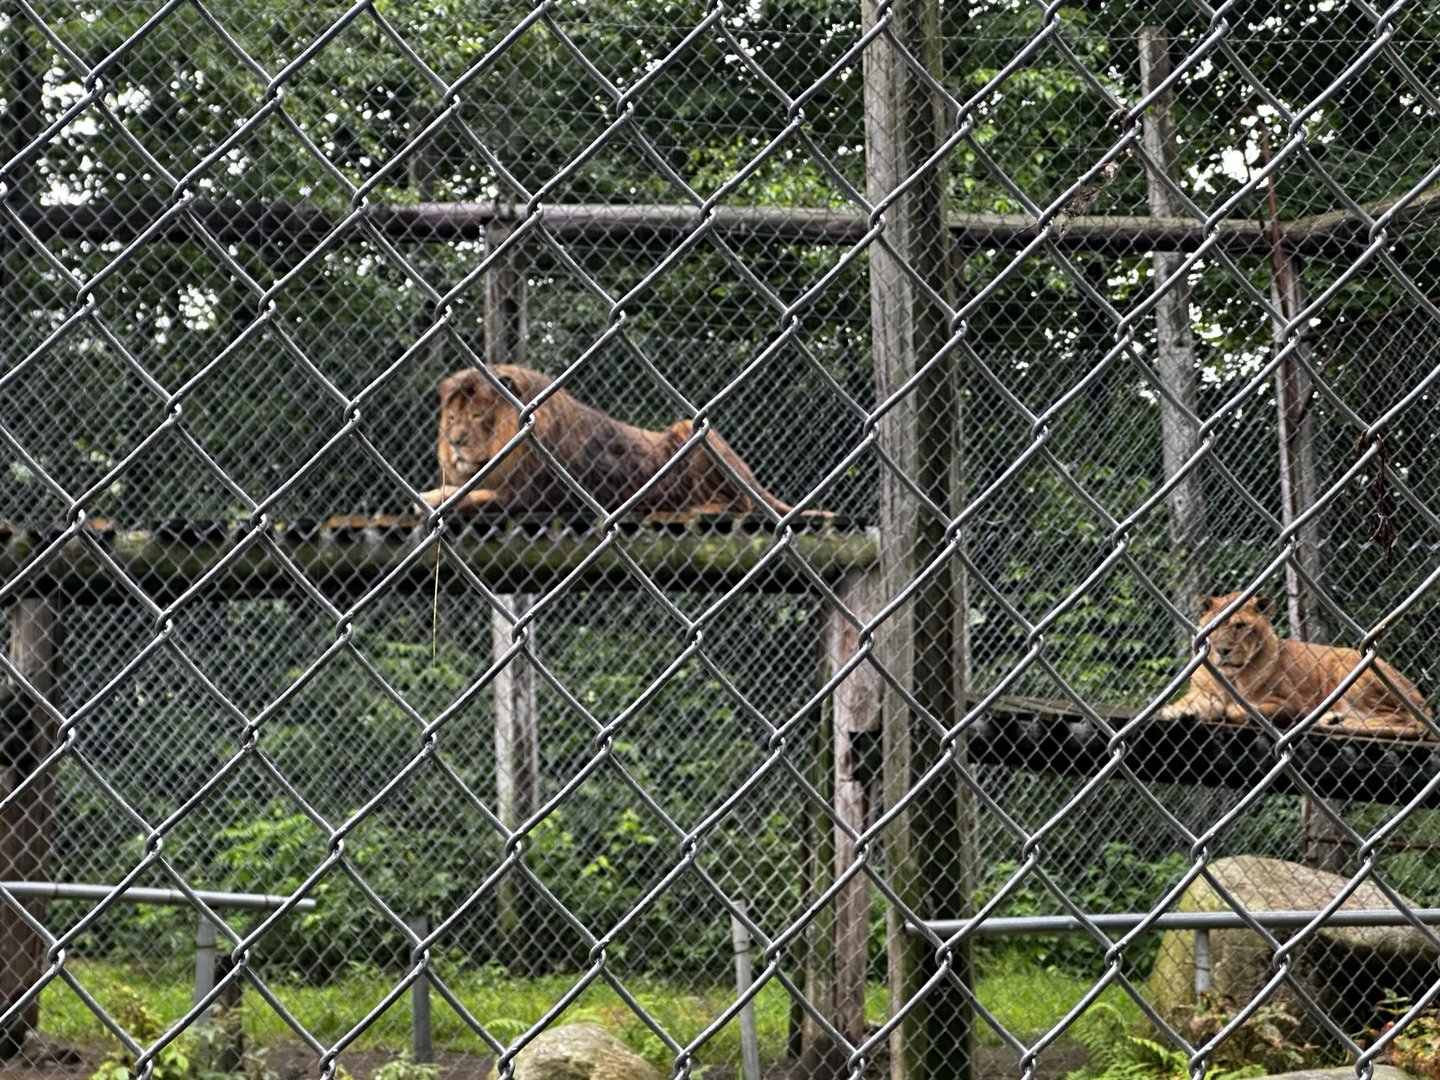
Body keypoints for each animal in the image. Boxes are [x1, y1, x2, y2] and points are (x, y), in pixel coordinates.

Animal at [417, 365, 798, 520]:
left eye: (478, 416)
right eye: (452, 420)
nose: (455, 441)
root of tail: (751, 477)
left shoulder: (531, 497)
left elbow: (475, 497)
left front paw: (434, 499)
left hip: (691, 431)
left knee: (742, 504)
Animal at [1157, 591, 1433, 739]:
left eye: (1241, 626)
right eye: (1213, 627)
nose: (1223, 650)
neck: (1232, 676)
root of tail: (1424, 704)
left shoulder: (1292, 703)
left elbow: (1240, 710)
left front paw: (1233, 709)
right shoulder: (1204, 693)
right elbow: (1190, 702)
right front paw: (1175, 711)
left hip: (1348, 668)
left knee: (1405, 722)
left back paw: (1334, 721)